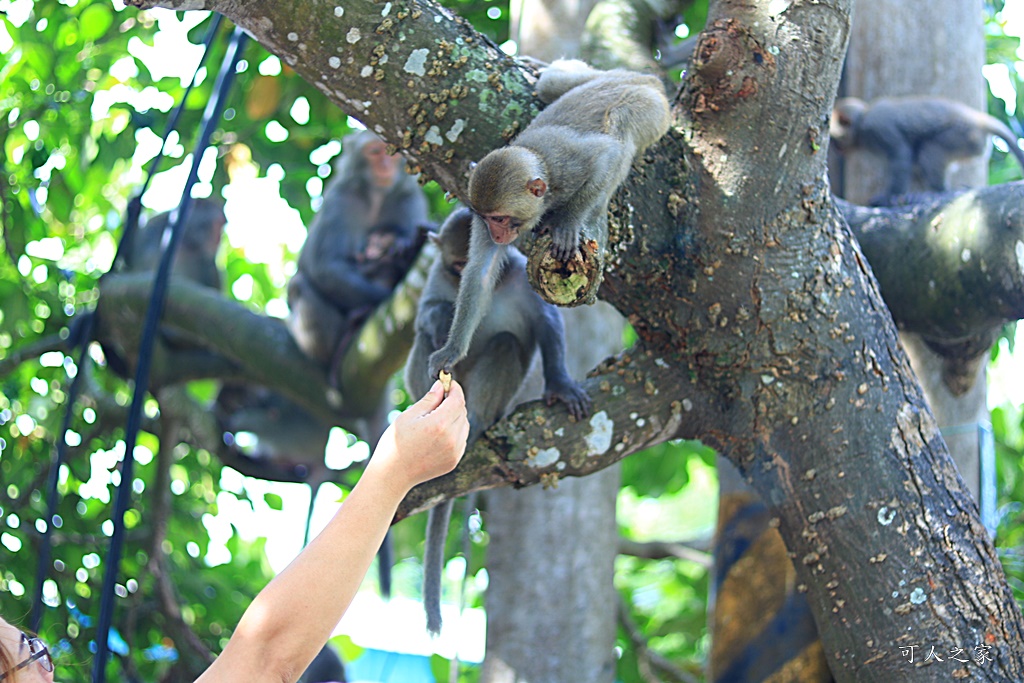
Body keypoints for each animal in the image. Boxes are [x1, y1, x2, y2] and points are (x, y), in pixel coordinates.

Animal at [401, 208, 593, 634]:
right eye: (455, 266)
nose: (462, 279)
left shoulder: (525, 280)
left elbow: (548, 323)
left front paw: (560, 385)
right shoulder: (435, 277)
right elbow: (426, 312)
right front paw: (442, 317)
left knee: (505, 343)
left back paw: (476, 423)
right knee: (423, 339)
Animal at [428, 57, 675, 378]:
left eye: (501, 219)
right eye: (486, 219)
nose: (496, 235)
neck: (540, 165)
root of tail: (646, 80)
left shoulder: (567, 168)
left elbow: (606, 154)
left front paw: (568, 221)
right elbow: (480, 273)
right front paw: (452, 351)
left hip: (654, 109)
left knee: (621, 125)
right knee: (552, 85)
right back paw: (544, 71)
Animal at [827, 94, 1024, 204]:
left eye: (834, 140)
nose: (836, 149)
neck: (862, 119)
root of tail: (978, 119)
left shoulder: (877, 128)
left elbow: (900, 155)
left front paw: (890, 197)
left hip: (963, 136)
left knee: (929, 152)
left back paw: (937, 191)